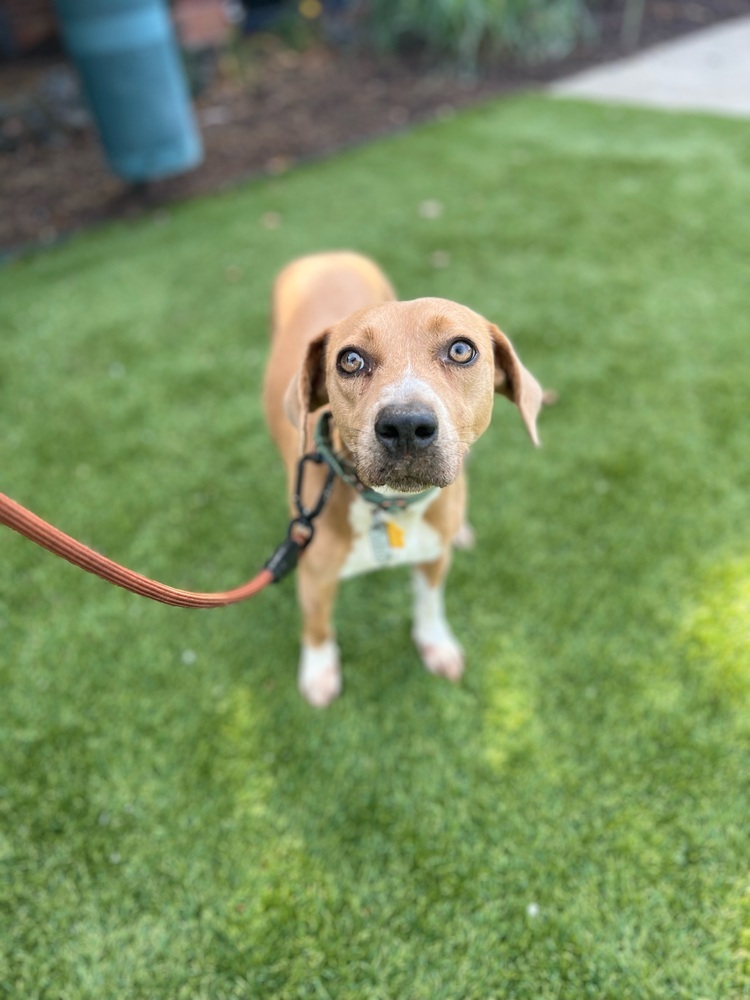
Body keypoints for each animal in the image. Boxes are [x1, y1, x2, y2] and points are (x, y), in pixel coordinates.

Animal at [262, 252, 544, 704]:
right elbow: (318, 627)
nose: (406, 425)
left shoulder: (433, 557)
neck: (389, 505)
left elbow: (429, 604)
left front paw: (436, 644)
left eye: (461, 349)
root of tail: (327, 255)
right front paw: (319, 672)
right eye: (350, 360)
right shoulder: (313, 577)